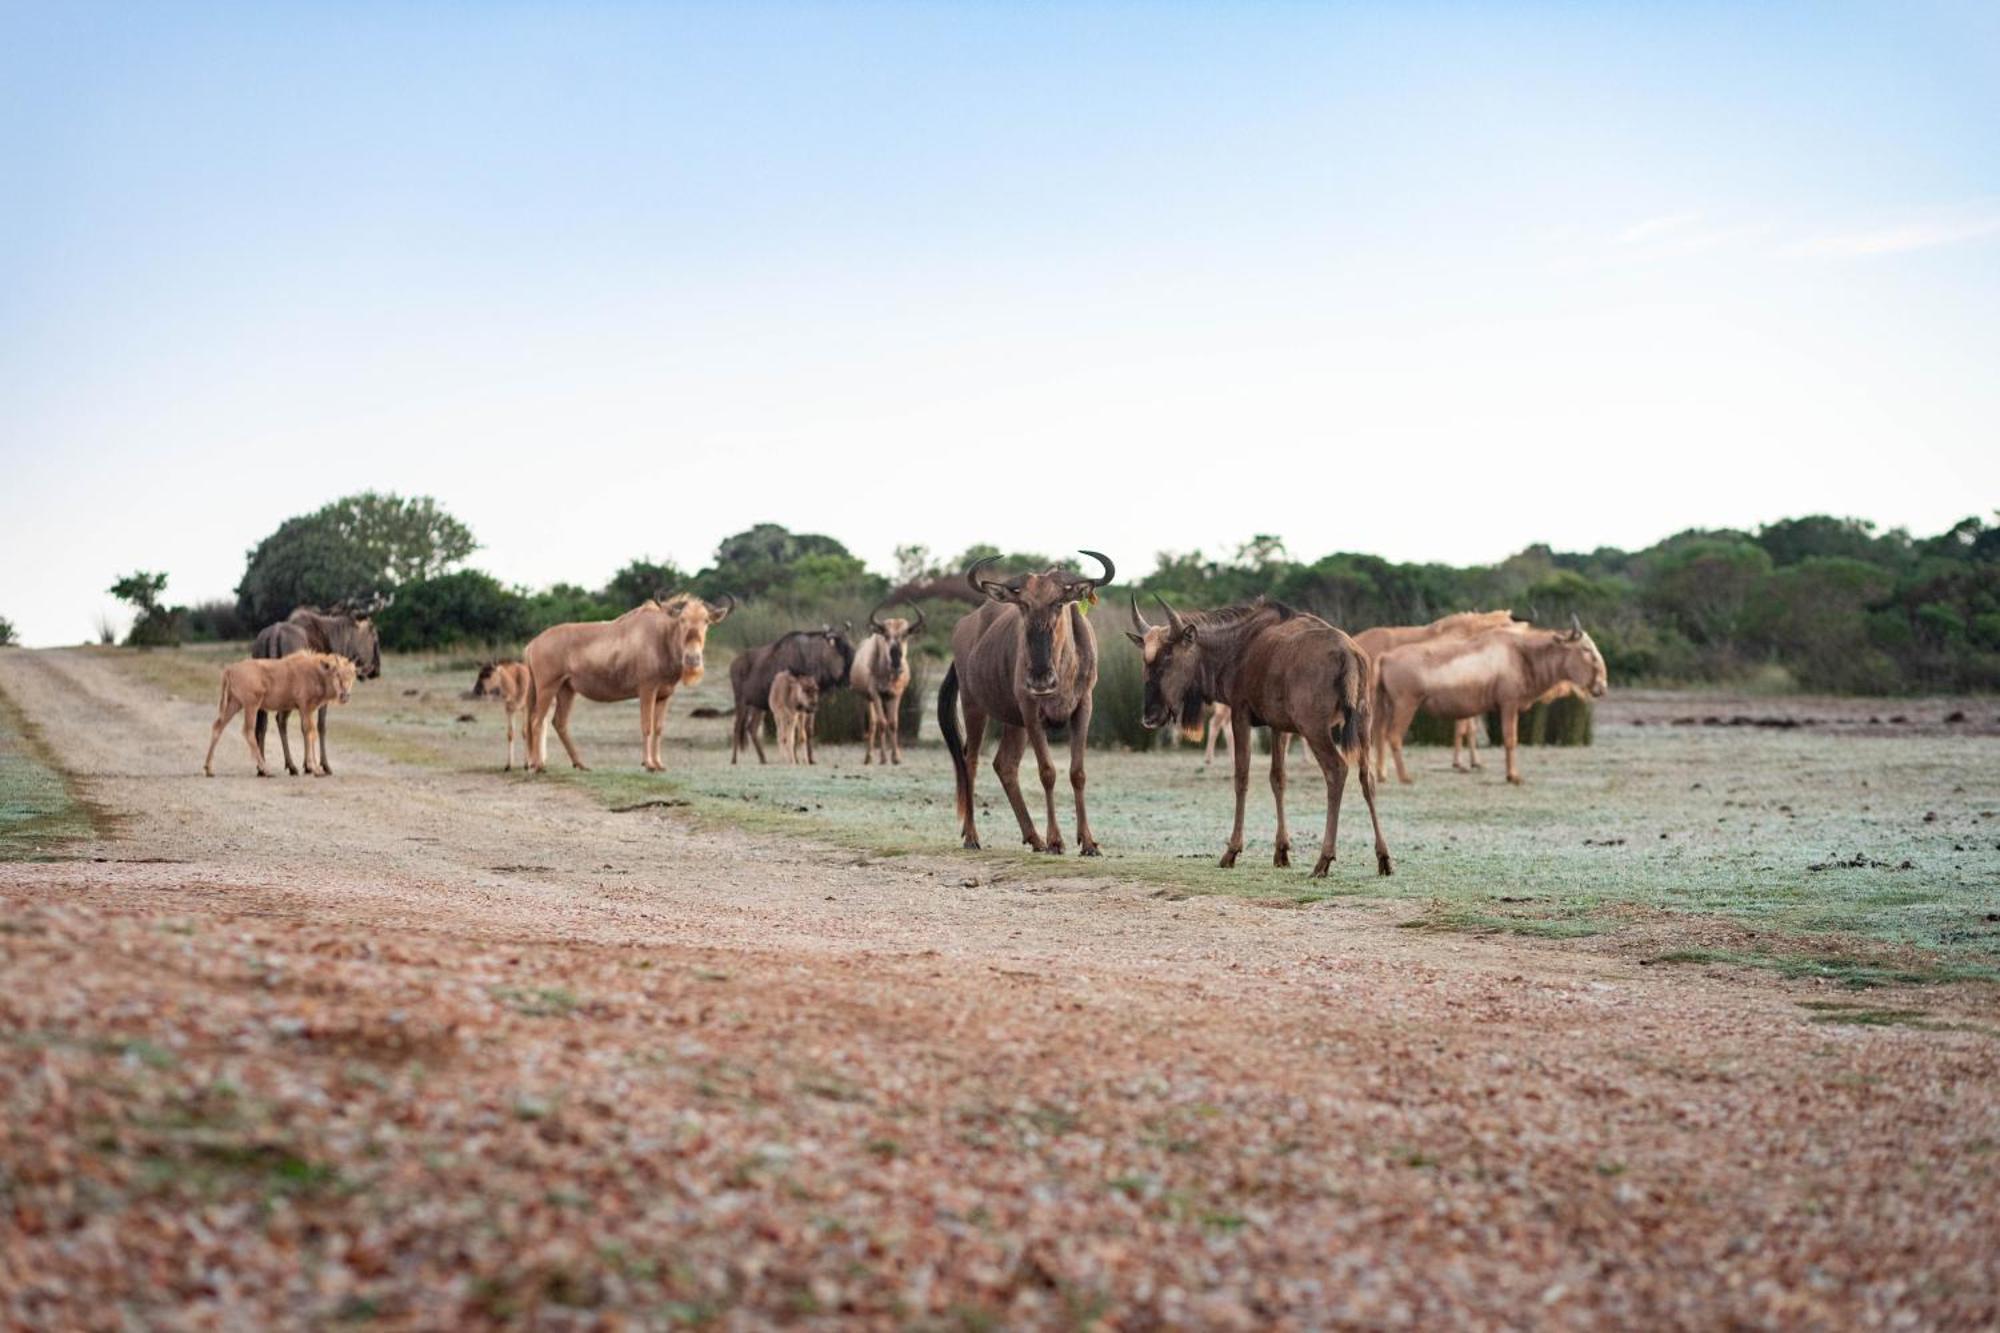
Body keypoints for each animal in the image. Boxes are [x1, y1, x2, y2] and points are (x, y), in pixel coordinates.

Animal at [207, 648, 360, 772]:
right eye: (337, 674)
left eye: (352, 674)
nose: (345, 695)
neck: (317, 672)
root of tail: (230, 669)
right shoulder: (305, 707)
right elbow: (309, 732)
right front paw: (314, 768)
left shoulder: (308, 710)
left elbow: (310, 732)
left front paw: (311, 767)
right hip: (251, 706)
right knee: (248, 731)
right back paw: (265, 769)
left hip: (235, 704)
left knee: (218, 726)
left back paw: (208, 768)